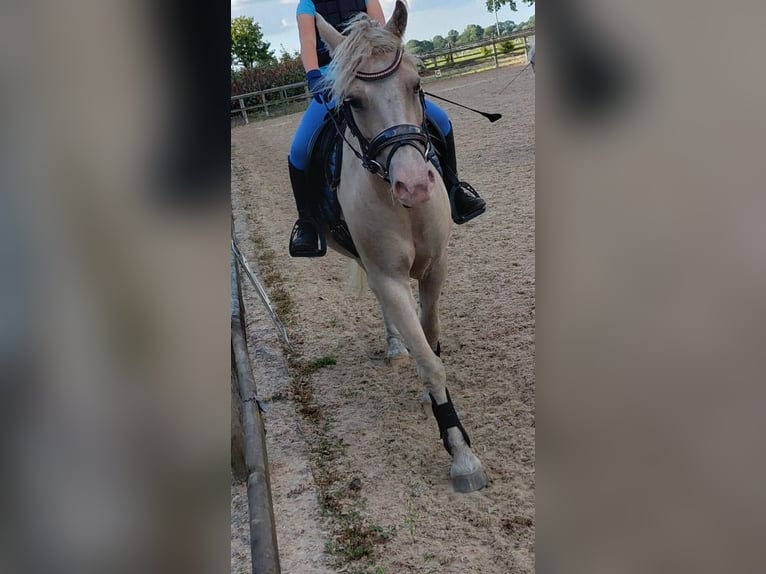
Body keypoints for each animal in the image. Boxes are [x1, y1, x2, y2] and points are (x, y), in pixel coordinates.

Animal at [314, 0, 488, 493]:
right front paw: (461, 454)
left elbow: (431, 339)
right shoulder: (389, 275)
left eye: (416, 83)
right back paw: (395, 345)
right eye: (352, 101)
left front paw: (434, 402)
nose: (413, 184)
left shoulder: (436, 267)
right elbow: (428, 360)